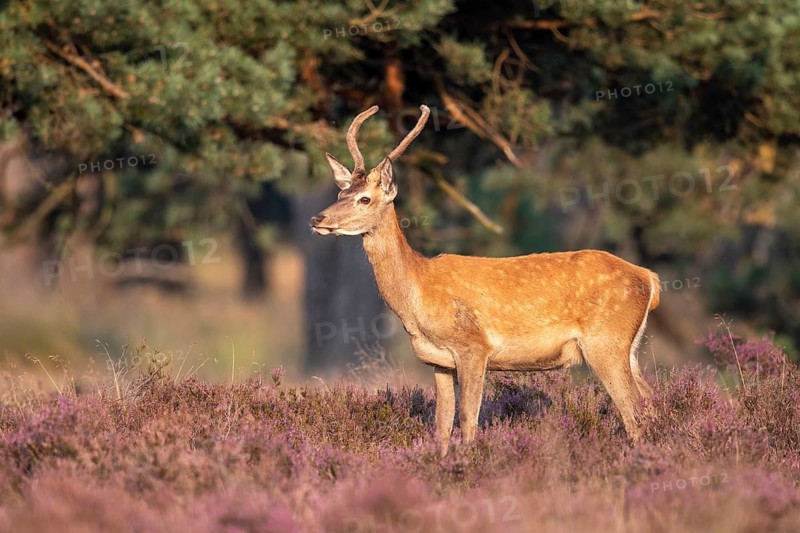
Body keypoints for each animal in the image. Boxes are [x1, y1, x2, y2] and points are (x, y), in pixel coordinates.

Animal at [310, 105, 660, 457]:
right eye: (341, 192)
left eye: (365, 199)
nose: (317, 218)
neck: (418, 296)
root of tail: (650, 278)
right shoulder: (439, 362)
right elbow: (441, 424)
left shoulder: (473, 346)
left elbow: (468, 419)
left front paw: (469, 460)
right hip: (627, 347)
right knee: (650, 402)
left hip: (605, 341)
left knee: (633, 409)